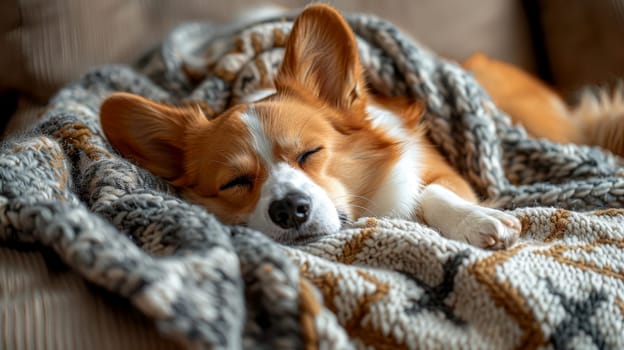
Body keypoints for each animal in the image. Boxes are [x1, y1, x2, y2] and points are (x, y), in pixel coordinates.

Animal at [100, 2, 620, 249]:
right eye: (235, 182)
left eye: (310, 153)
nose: (290, 210)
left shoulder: (445, 169)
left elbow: (429, 192)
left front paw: (478, 220)